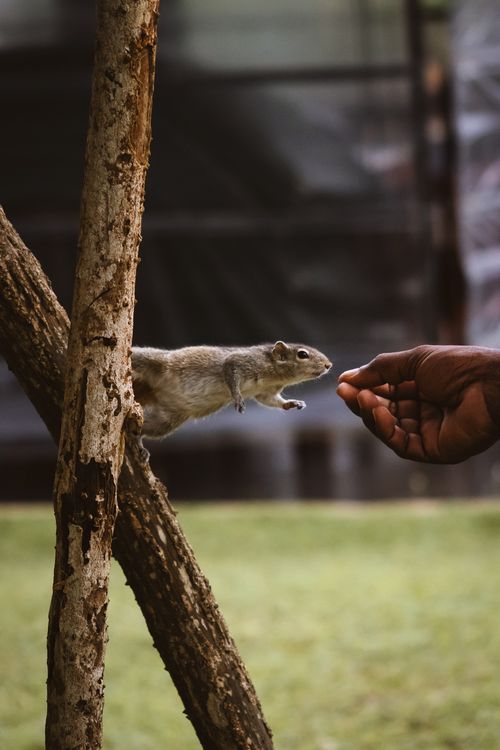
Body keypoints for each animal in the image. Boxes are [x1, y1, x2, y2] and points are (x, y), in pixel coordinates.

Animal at [131, 341, 332, 457]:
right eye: (302, 354)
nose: (328, 365)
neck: (275, 374)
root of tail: (153, 390)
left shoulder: (266, 391)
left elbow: (269, 400)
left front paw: (292, 403)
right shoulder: (241, 362)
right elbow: (230, 370)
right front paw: (237, 398)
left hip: (167, 421)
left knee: (144, 428)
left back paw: (138, 442)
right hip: (151, 361)